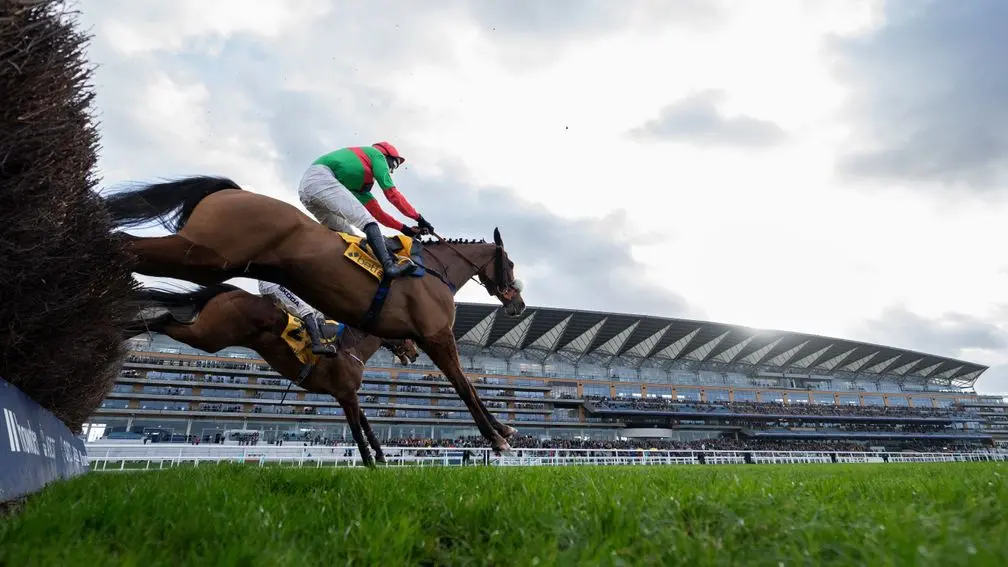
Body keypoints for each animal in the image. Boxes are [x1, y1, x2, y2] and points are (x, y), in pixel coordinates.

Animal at [122, 282, 420, 467]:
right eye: (406, 331)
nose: (415, 353)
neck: (350, 346)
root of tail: (233, 292)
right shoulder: (345, 394)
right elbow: (357, 430)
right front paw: (370, 463)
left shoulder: (346, 394)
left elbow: (367, 426)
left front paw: (380, 457)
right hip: (209, 336)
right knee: (166, 319)